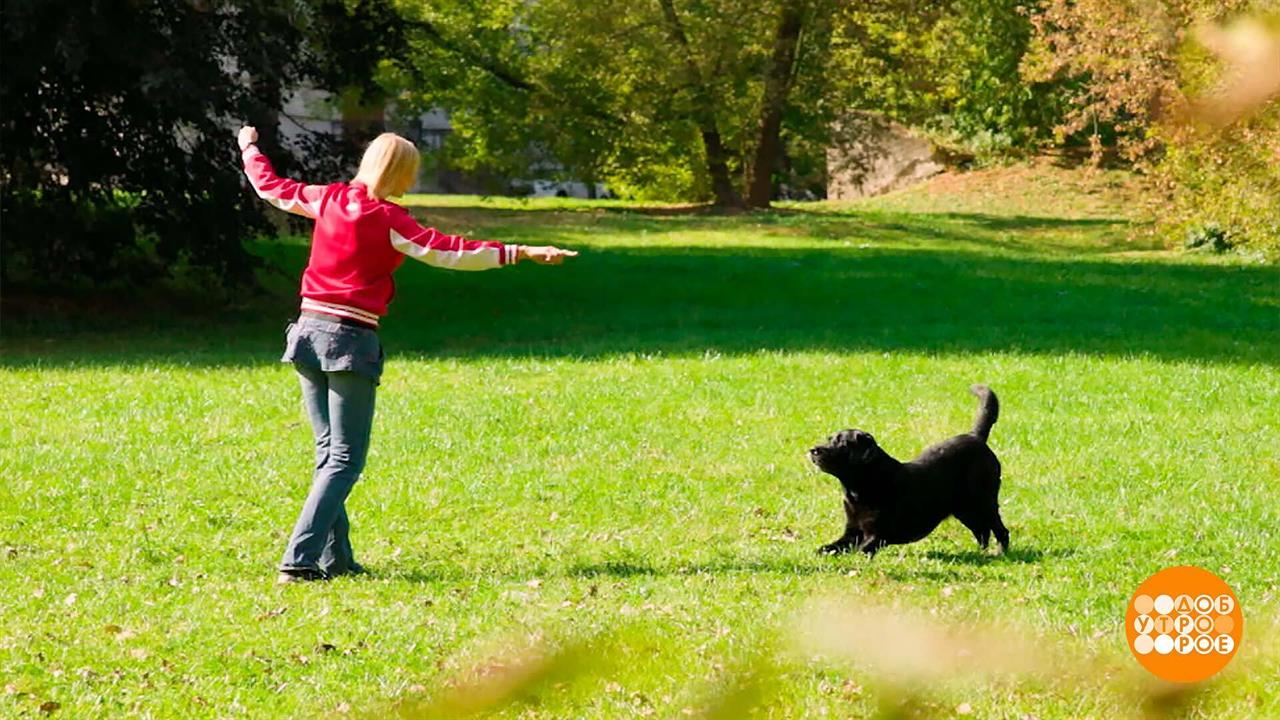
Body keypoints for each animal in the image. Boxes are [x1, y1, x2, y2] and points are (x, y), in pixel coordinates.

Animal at [808, 384, 1008, 558]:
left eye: (842, 444)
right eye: (829, 439)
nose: (813, 449)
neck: (859, 487)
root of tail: (976, 437)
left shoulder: (879, 533)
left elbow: (862, 549)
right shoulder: (852, 532)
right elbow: (832, 546)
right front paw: (821, 552)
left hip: (984, 501)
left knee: (1000, 530)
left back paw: (1000, 553)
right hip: (965, 509)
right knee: (982, 530)